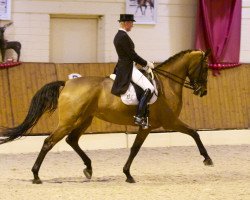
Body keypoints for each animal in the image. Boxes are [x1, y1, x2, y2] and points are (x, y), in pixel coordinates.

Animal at [0, 49, 213, 184]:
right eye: (205, 68)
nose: (203, 91)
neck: (167, 85)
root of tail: (67, 83)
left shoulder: (148, 126)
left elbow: (134, 148)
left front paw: (127, 174)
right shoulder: (169, 122)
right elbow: (194, 133)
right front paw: (207, 159)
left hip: (84, 119)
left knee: (72, 140)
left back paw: (88, 168)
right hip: (69, 121)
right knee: (49, 142)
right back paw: (36, 176)